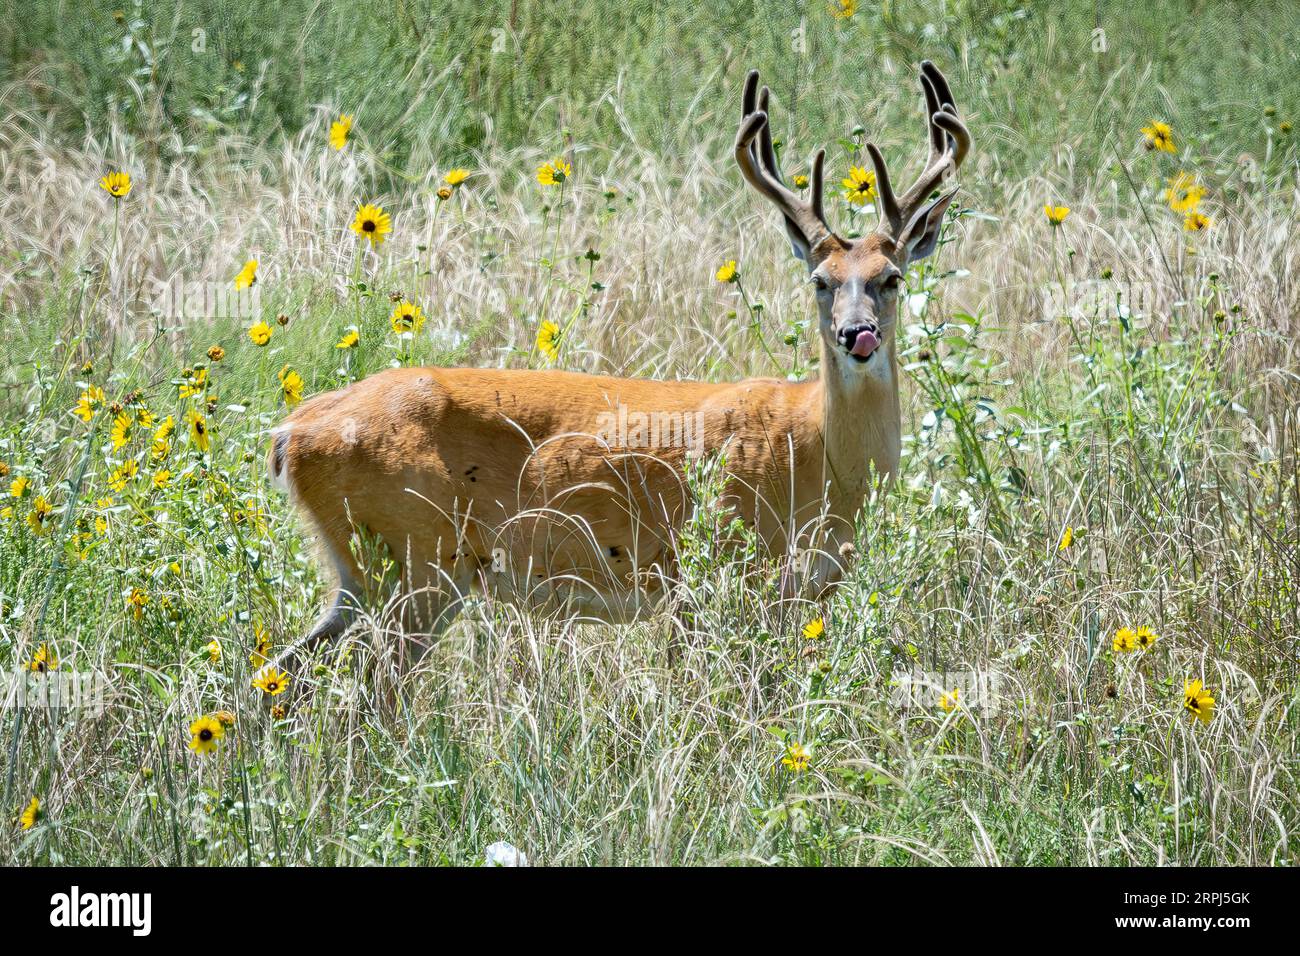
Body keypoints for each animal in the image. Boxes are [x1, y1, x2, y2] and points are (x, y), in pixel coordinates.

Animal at [268, 61, 971, 663]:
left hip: (369, 574)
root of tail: (293, 431)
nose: (858, 334)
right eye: (821, 281)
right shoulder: (718, 573)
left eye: (891, 278)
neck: (820, 456)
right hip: (418, 557)